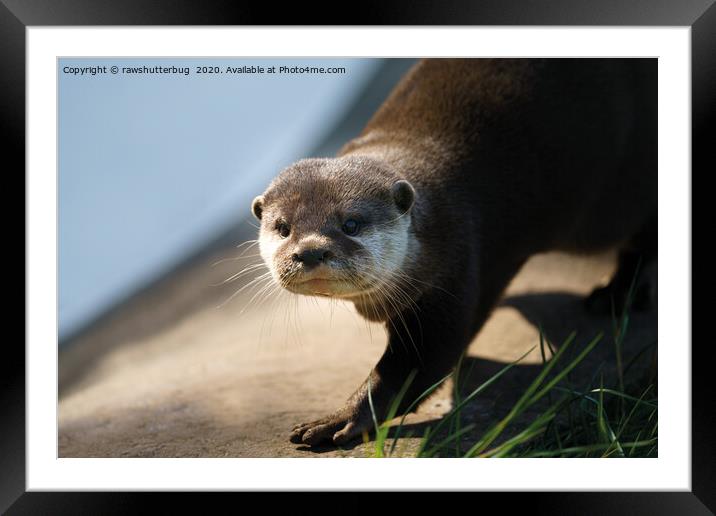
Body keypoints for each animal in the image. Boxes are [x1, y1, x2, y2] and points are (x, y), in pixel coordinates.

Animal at [250, 58, 656, 446]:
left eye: (351, 224)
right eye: (283, 227)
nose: (309, 252)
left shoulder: (455, 263)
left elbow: (422, 360)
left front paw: (341, 418)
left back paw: (616, 294)